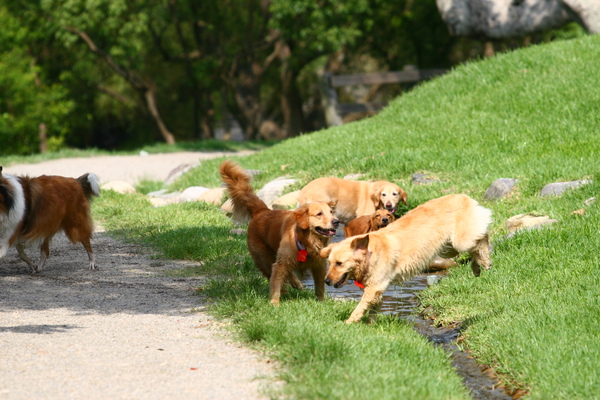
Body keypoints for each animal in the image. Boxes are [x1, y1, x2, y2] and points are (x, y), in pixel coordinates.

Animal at [220, 161, 342, 304]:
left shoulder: (319, 265)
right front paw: (274, 302)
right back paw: (289, 288)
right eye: (319, 214)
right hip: (263, 257)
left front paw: (321, 301)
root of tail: (262, 211)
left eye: (331, 212)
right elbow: (276, 283)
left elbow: (320, 286)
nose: (336, 221)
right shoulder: (282, 262)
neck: (306, 242)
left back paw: (296, 284)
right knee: (273, 272)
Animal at [322, 195, 490, 324]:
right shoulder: (377, 290)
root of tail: (463, 196)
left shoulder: (374, 286)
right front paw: (370, 324)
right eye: (329, 263)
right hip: (448, 248)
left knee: (483, 237)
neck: (370, 254)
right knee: (475, 247)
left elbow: (359, 308)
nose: (326, 281)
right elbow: (372, 310)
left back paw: (485, 261)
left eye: (339, 263)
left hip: (461, 242)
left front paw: (347, 323)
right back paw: (476, 268)